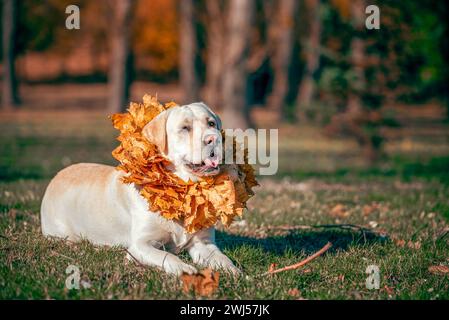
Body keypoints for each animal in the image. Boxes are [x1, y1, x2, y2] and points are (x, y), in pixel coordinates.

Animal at [40, 102, 240, 276]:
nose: (214, 138)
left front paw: (234, 271)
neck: (182, 189)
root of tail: (57, 176)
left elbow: (222, 258)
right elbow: (166, 255)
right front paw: (183, 268)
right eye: (185, 128)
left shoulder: (203, 243)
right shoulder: (140, 246)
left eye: (211, 123)